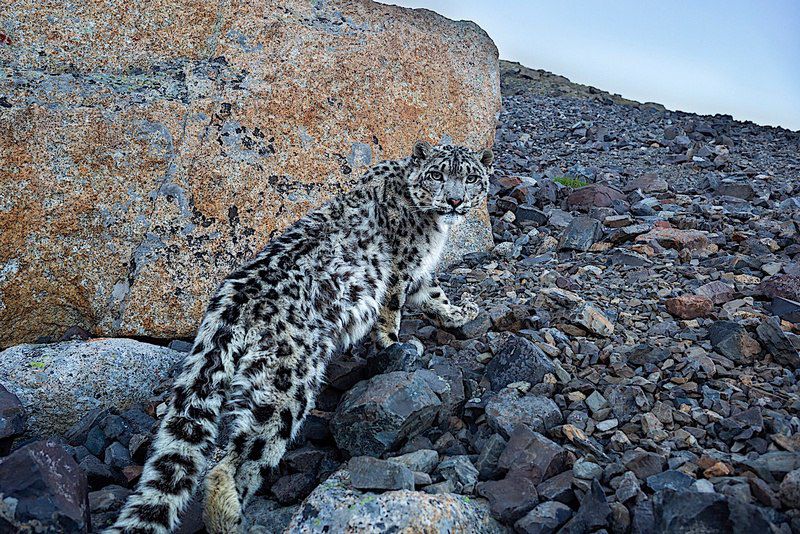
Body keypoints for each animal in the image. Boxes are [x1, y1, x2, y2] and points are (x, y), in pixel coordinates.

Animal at [106, 140, 494, 532]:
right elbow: (391, 311)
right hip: (286, 384)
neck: (432, 227)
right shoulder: (401, 269)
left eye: (471, 178)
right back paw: (231, 518)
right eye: (437, 175)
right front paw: (398, 345)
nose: (455, 201)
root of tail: (231, 301)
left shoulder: (420, 274)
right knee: (238, 460)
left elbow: (435, 296)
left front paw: (461, 312)